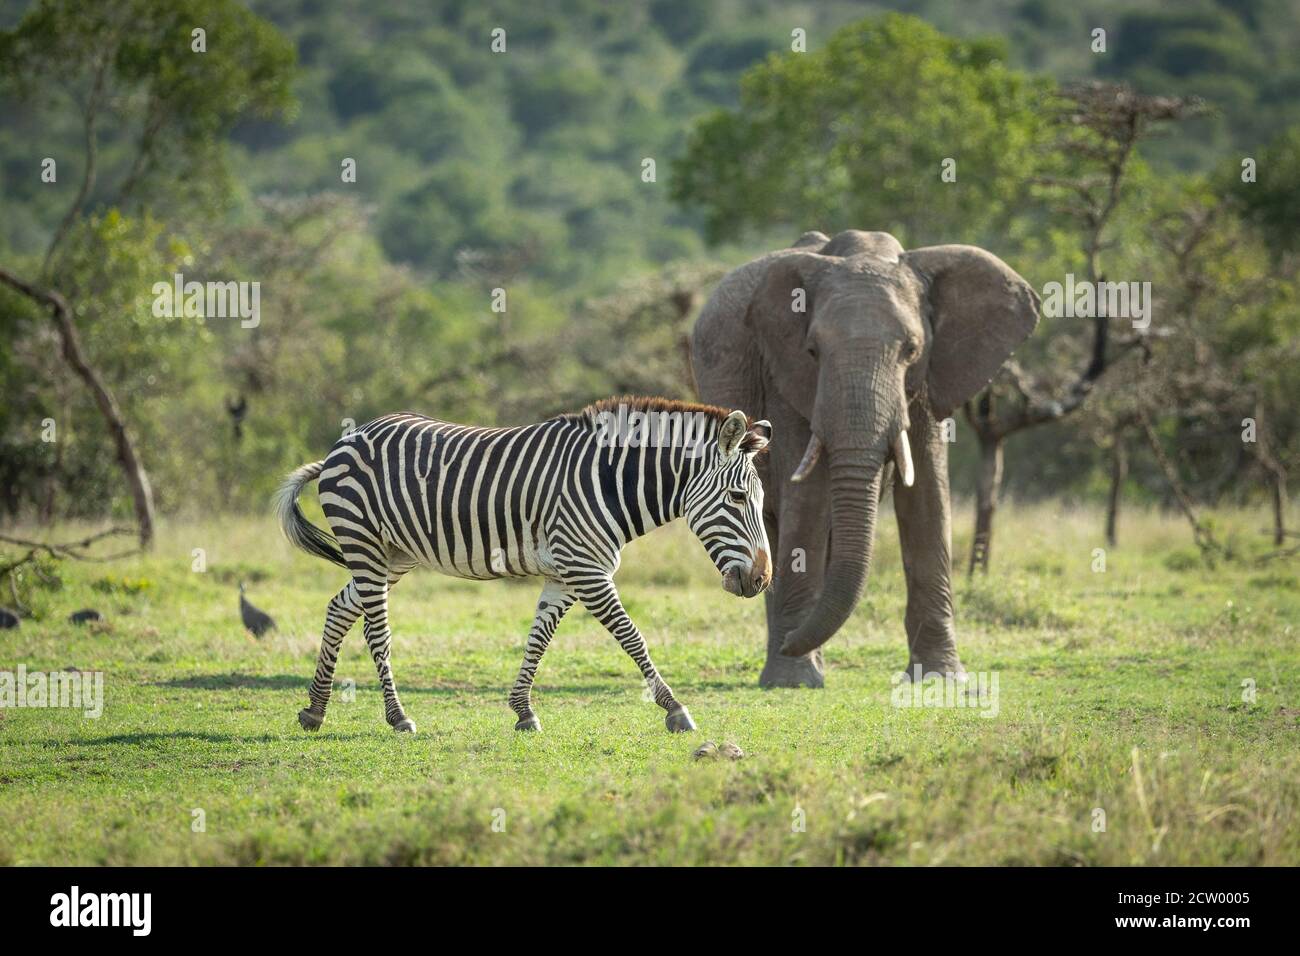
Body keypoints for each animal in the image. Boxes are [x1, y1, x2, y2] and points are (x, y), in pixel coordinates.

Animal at [274, 395, 769, 733]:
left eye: (760, 499)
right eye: (737, 497)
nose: (762, 579)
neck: (609, 484)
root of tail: (344, 441)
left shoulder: (564, 575)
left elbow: (538, 640)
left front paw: (523, 710)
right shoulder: (587, 569)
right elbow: (633, 637)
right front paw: (675, 708)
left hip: (391, 556)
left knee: (339, 608)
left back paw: (315, 709)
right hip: (365, 544)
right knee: (376, 629)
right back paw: (397, 717)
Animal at [696, 230, 1040, 686]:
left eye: (911, 350)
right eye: (812, 350)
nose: (790, 643)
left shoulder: (930, 379)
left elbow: (927, 495)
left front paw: (940, 677)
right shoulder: (784, 376)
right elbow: (806, 497)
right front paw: (793, 680)